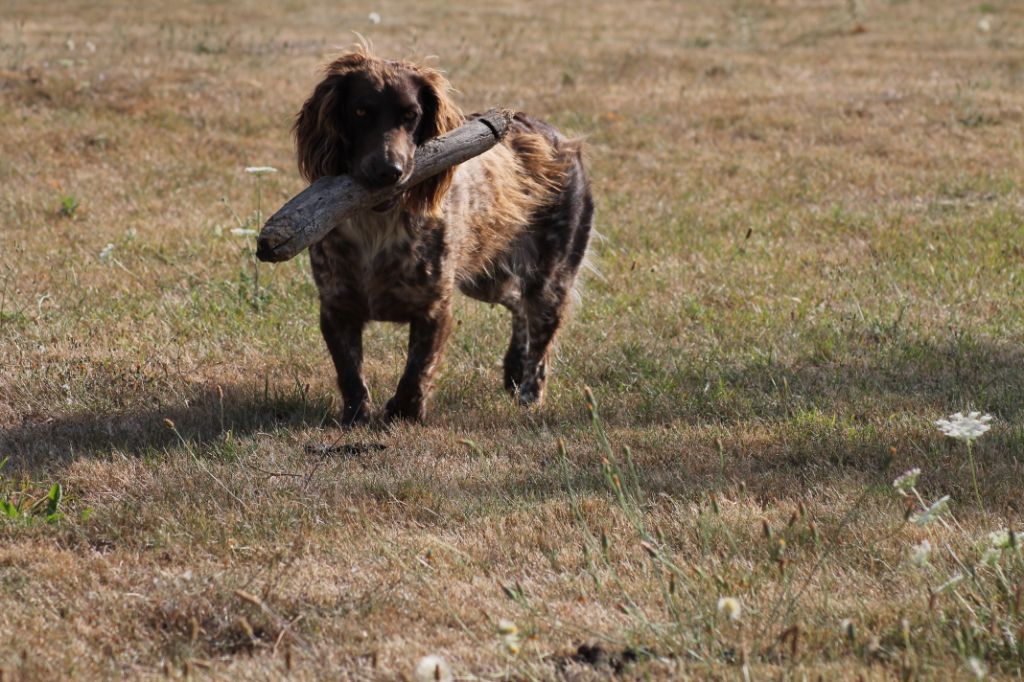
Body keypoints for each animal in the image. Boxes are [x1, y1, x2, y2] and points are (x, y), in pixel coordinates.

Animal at [292, 53, 598, 421]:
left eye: (411, 115)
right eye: (360, 112)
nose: (389, 171)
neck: (377, 226)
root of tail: (558, 137)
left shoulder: (434, 306)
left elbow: (418, 368)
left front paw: (404, 412)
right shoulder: (336, 304)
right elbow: (350, 370)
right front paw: (357, 416)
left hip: (551, 277)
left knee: (541, 336)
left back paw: (529, 395)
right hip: (487, 279)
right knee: (517, 303)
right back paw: (514, 367)